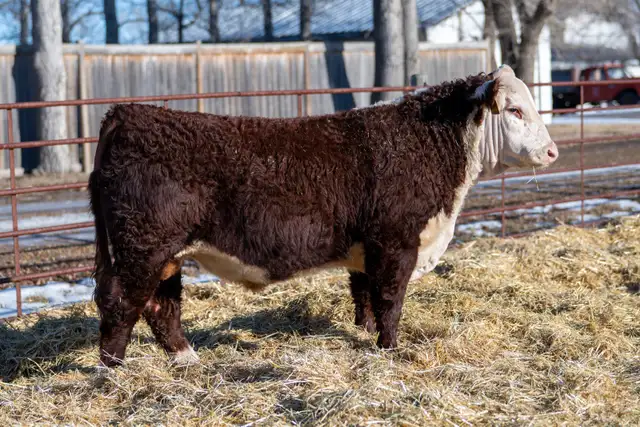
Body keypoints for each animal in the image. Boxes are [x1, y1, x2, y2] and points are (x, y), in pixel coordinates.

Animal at [89, 65, 558, 367]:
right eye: (515, 110)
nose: (553, 151)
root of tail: (128, 112)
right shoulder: (395, 241)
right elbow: (390, 300)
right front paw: (389, 349)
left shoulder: (367, 248)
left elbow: (363, 294)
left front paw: (364, 334)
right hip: (141, 247)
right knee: (121, 302)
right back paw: (114, 369)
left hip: (163, 254)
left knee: (160, 305)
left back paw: (187, 359)